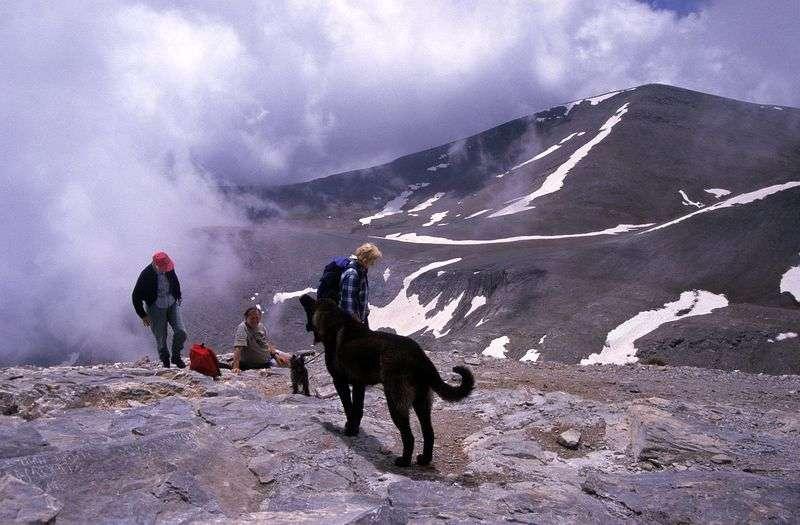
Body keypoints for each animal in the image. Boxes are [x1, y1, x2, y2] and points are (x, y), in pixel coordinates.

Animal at [300, 294, 476, 466]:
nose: (303, 298)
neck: (333, 319)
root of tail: (419, 356)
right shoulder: (358, 384)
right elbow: (357, 410)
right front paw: (354, 429)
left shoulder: (340, 381)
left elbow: (348, 408)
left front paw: (349, 429)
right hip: (422, 402)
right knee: (429, 432)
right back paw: (424, 459)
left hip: (395, 401)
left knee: (409, 435)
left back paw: (404, 461)